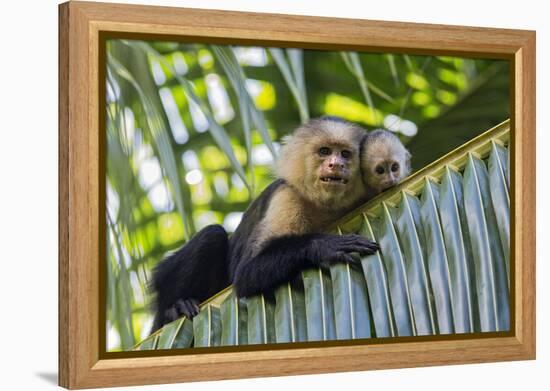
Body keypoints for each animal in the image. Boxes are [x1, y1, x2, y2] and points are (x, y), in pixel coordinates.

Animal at [151, 115, 410, 330]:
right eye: (325, 151)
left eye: (345, 154)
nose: (336, 164)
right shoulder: (286, 196)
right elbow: (245, 275)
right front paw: (325, 246)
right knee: (212, 236)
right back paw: (174, 309)